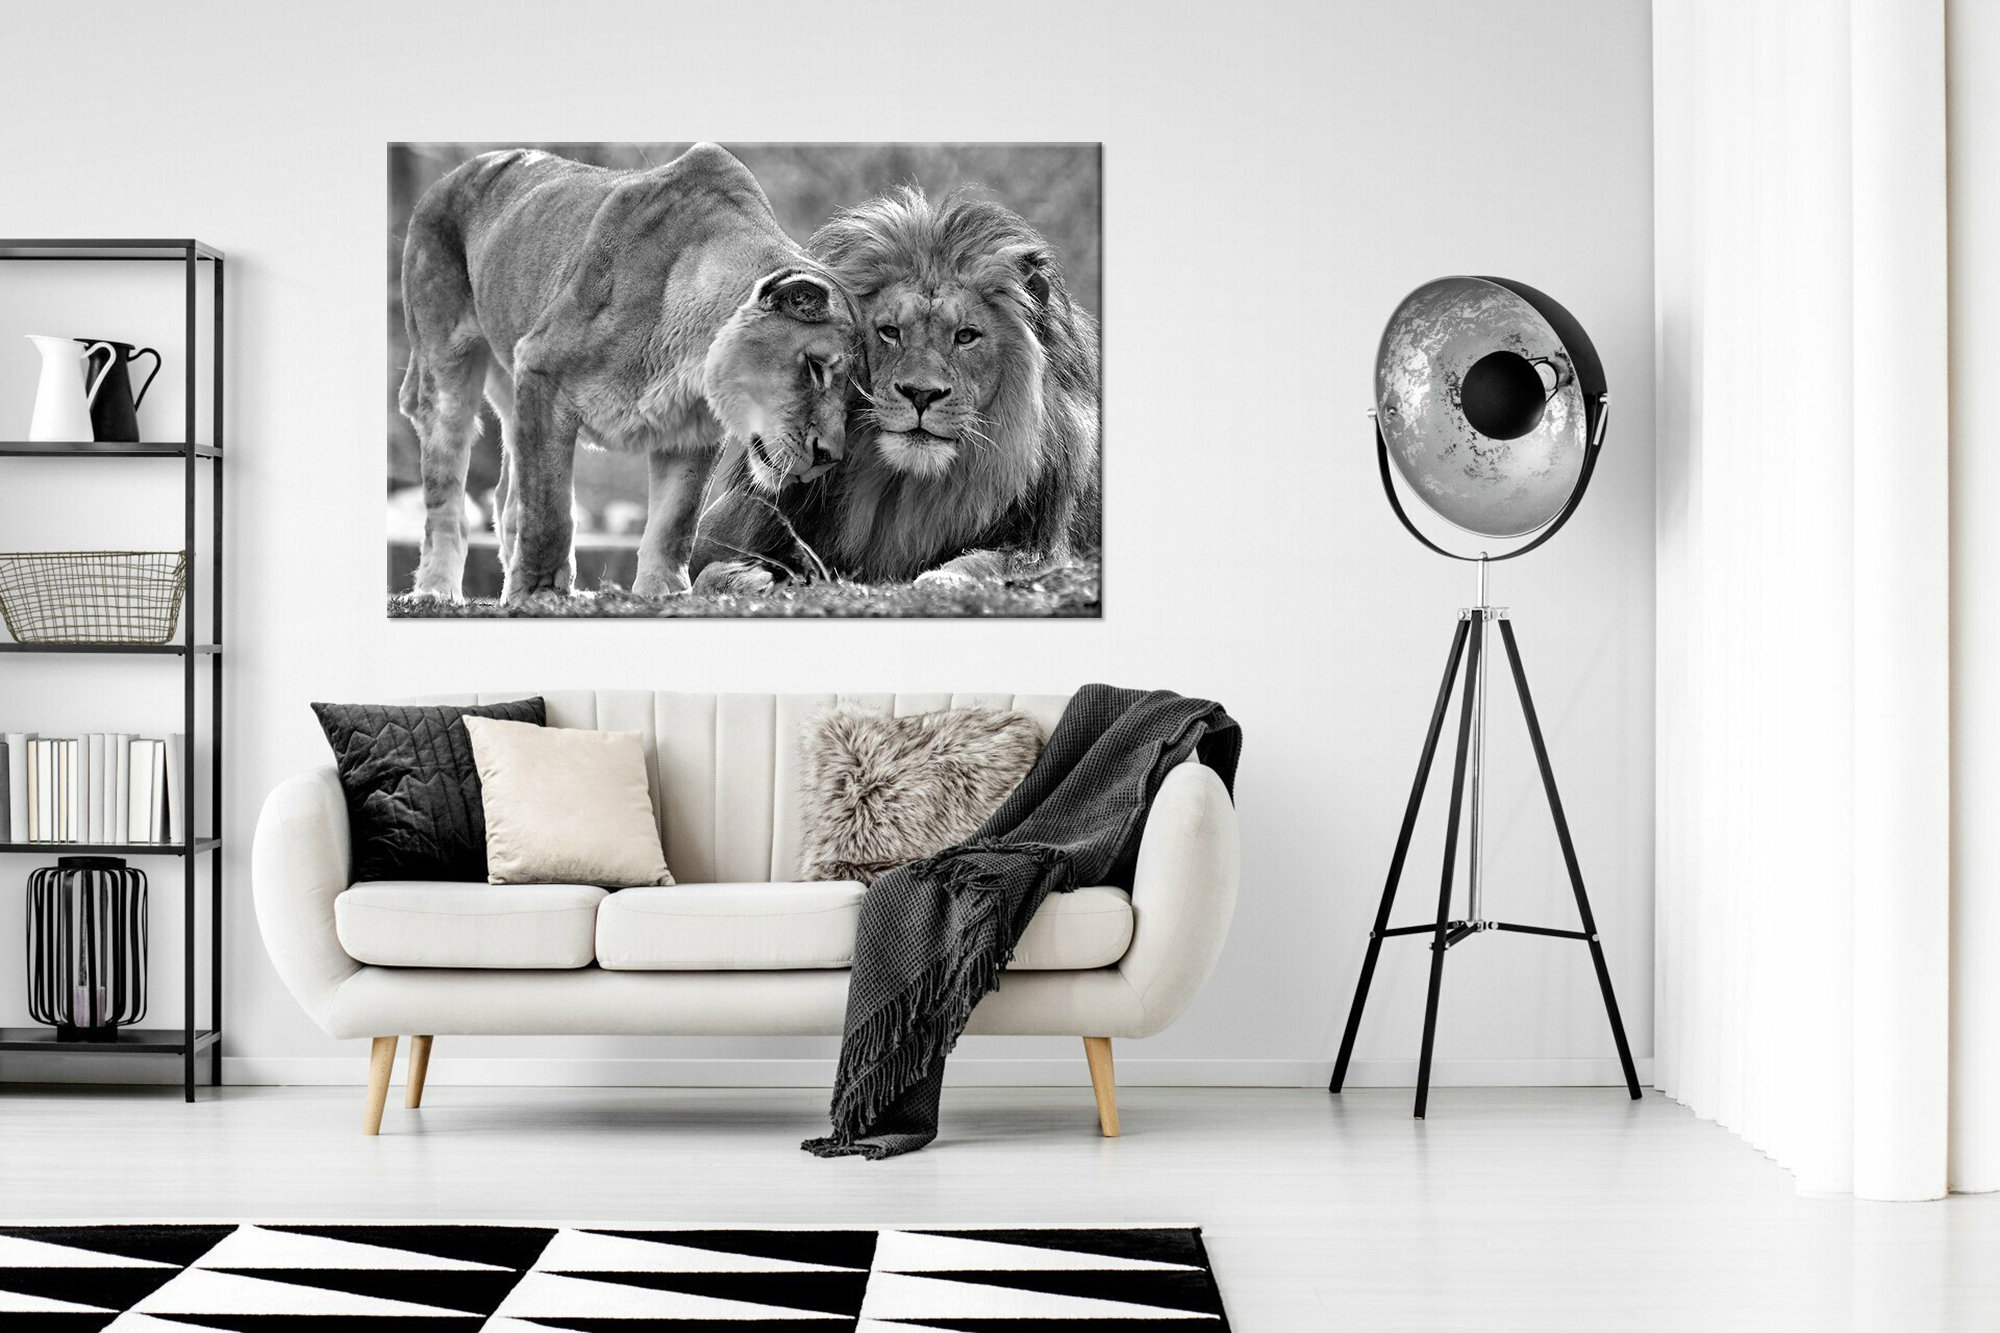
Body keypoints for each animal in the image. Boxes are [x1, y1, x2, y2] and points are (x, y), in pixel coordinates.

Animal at [398, 143, 855, 603]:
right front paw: (542, 591)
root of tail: (453, 176)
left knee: (506, 497)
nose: (829, 457)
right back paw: (437, 590)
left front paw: (666, 590)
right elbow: (549, 511)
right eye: (815, 367)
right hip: (446, 374)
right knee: (447, 499)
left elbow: (676, 520)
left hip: (512, 388)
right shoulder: (541, 369)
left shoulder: (695, 428)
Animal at [689, 187, 1099, 593]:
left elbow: (1001, 564)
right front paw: (744, 578)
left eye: (966, 336)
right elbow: (700, 575)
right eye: (889, 332)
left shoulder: (1047, 544)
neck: (903, 490)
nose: (920, 394)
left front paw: (945, 578)